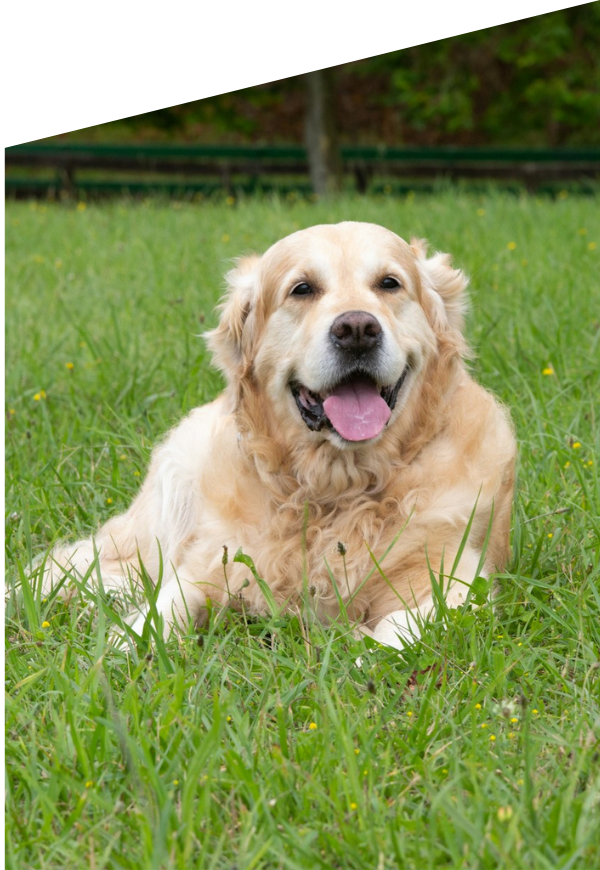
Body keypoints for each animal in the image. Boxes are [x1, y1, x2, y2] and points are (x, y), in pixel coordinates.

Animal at [37, 221, 516, 652]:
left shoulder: (455, 576)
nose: (357, 330)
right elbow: (170, 599)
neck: (336, 491)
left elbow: (402, 629)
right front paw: (126, 644)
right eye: (302, 289)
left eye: (389, 283)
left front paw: (362, 655)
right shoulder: (211, 558)